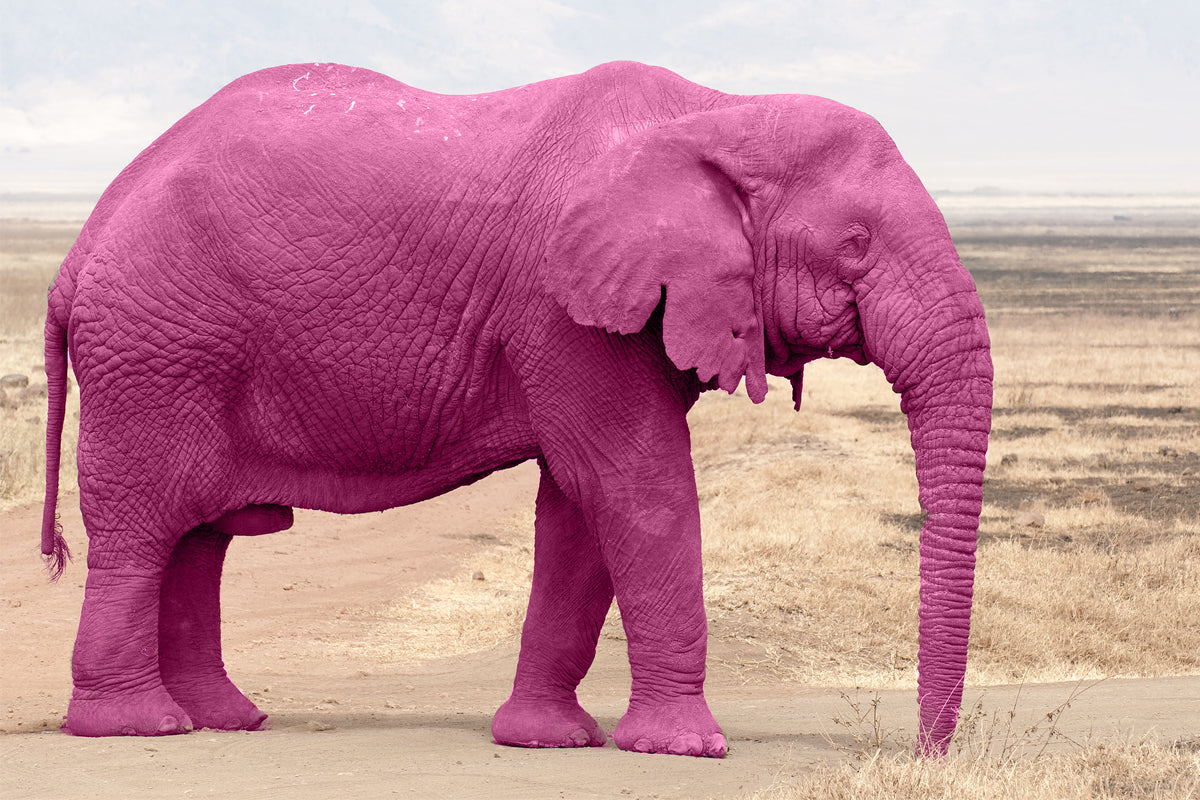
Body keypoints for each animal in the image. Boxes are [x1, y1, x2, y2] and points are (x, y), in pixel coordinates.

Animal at [41, 61, 992, 757]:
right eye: (856, 245)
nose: (922, 753)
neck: (719, 113)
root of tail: (79, 247)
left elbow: (579, 511)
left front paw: (547, 741)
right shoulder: (562, 308)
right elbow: (636, 486)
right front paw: (688, 750)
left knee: (199, 538)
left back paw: (223, 721)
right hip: (154, 351)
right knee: (142, 530)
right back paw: (136, 727)